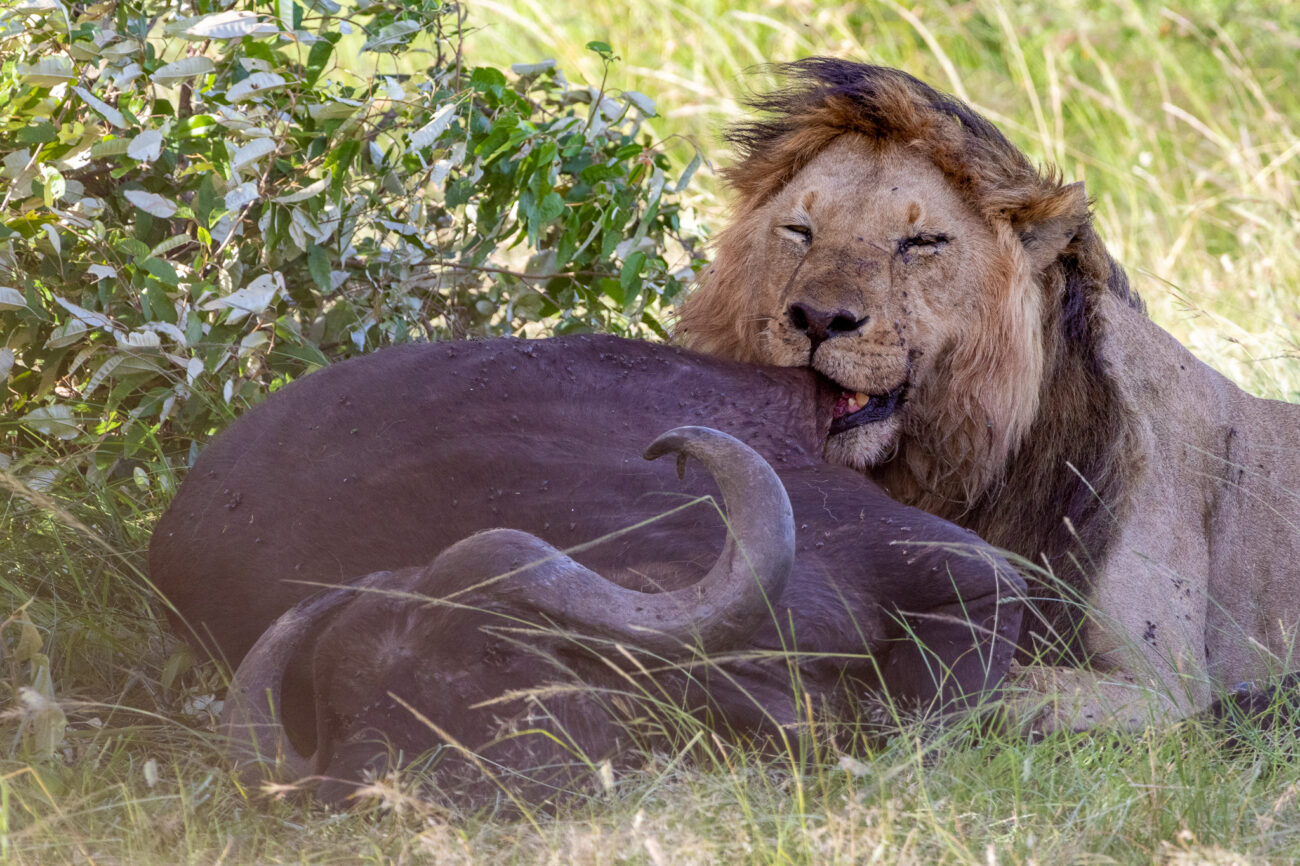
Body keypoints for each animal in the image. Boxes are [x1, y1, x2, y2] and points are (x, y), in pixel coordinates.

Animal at [677, 59, 1300, 733]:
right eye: (799, 231)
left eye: (922, 243)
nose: (818, 319)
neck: (956, 469)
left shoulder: (1161, 689)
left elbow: (981, 688)